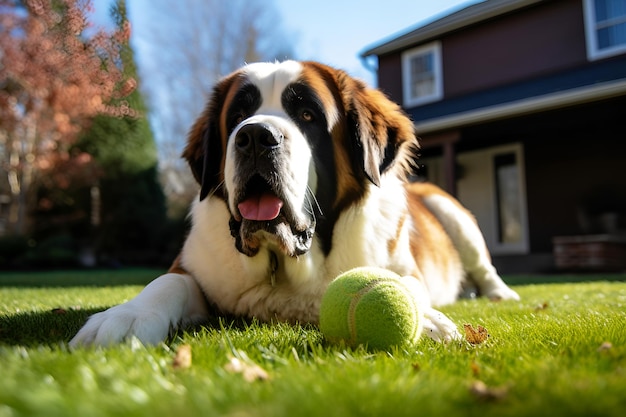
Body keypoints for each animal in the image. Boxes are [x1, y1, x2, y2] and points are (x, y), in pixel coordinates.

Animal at [69, 61, 516, 348]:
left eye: (307, 114)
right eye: (237, 116)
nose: (254, 136)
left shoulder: (404, 266)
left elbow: (408, 285)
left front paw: (429, 323)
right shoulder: (194, 267)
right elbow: (168, 282)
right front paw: (126, 317)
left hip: (453, 213)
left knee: (484, 266)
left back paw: (500, 294)